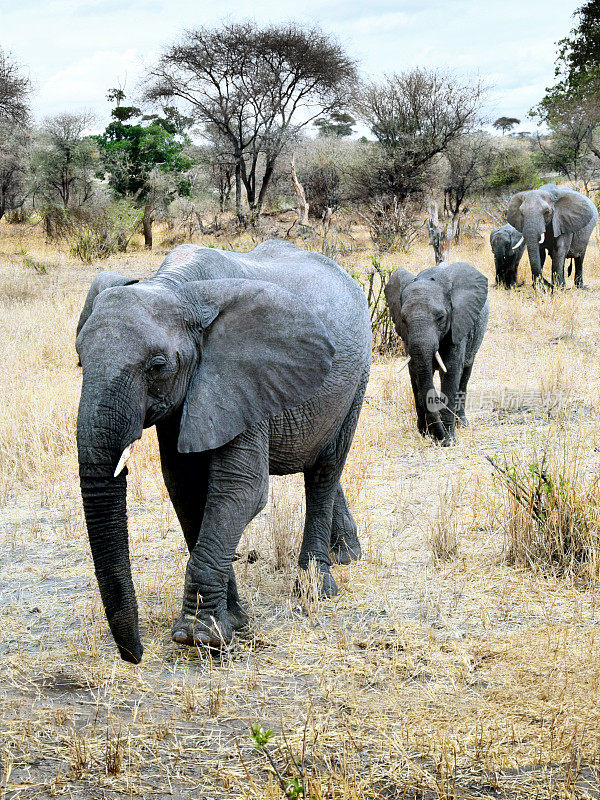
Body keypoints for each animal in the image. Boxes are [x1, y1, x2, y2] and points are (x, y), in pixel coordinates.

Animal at [75, 239, 370, 664]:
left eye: (157, 366)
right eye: (80, 360)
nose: (136, 654)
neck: (174, 288)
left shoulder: (242, 377)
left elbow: (239, 490)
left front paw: (200, 637)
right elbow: (185, 490)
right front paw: (236, 621)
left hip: (357, 378)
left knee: (325, 469)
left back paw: (316, 588)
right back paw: (347, 555)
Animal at [384, 264, 488, 446]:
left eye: (440, 317)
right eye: (403, 320)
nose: (439, 438)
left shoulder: (457, 326)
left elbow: (451, 372)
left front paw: (449, 441)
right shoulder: (407, 338)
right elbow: (415, 373)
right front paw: (425, 434)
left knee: (465, 374)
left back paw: (462, 424)